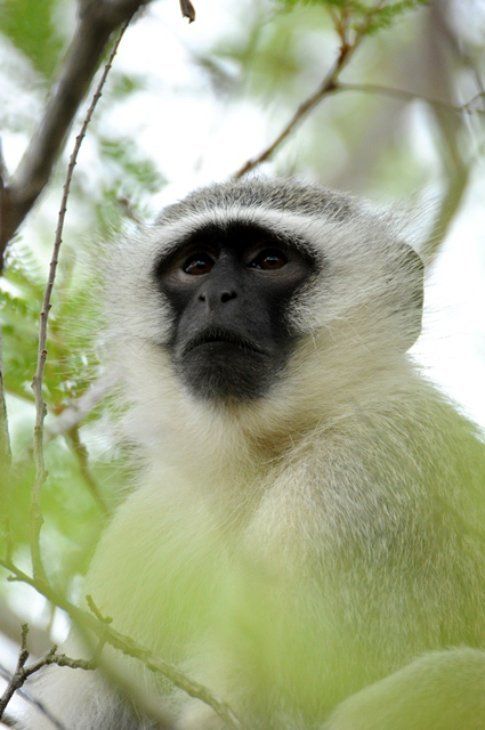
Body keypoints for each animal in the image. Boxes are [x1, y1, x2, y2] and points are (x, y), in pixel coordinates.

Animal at [20, 178, 484, 728]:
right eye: (196, 265)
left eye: (269, 260)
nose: (216, 296)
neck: (253, 462)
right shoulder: (144, 528)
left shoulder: (356, 482)